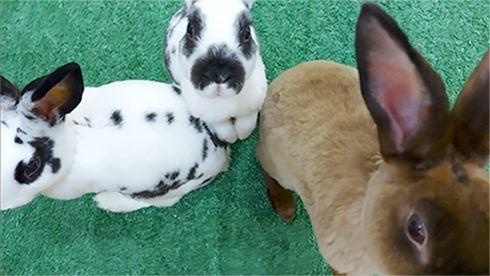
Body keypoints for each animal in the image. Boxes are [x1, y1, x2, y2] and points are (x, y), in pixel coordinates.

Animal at [163, 0, 266, 143]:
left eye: (246, 33)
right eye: (190, 30)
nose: (218, 74)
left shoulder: (253, 105)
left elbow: (246, 124)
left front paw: (242, 135)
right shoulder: (211, 117)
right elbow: (224, 130)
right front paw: (232, 139)